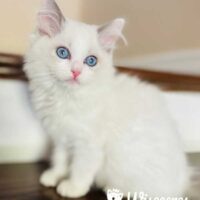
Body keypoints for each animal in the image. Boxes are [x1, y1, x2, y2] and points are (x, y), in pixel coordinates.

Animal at [24, 0, 191, 198]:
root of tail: (183, 182)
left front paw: (72, 188)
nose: (76, 71)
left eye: (91, 61)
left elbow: (80, 169)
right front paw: (54, 176)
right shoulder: (62, 137)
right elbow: (60, 159)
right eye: (63, 53)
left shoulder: (89, 145)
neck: (65, 98)